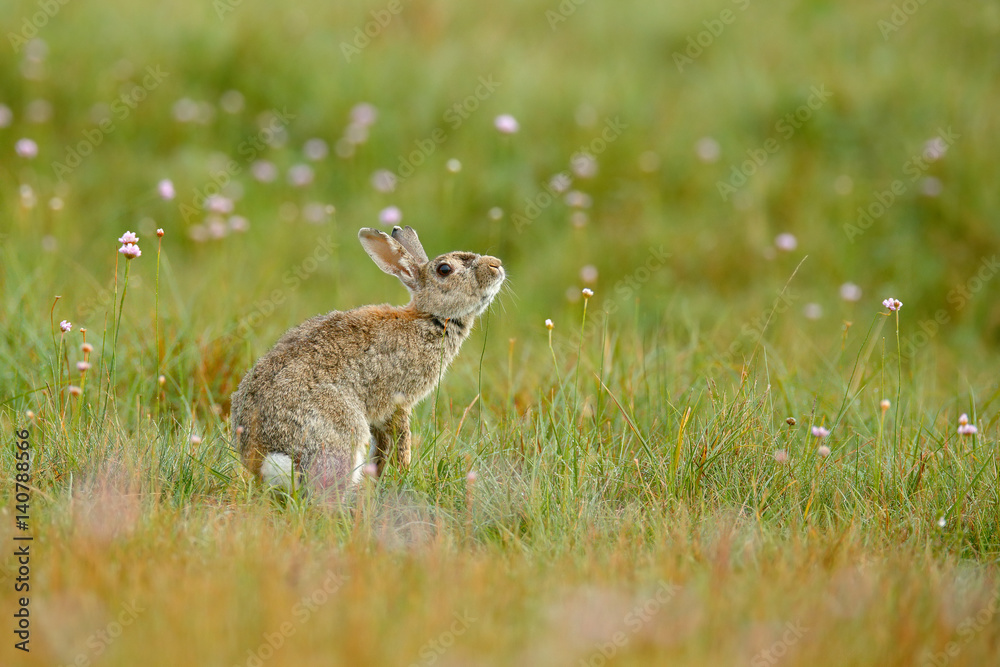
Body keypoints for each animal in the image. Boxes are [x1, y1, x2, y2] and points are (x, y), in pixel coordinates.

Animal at [230, 227, 504, 494]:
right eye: (444, 270)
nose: (496, 265)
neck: (429, 318)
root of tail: (262, 456)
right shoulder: (397, 402)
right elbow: (399, 441)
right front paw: (401, 472)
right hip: (339, 428)